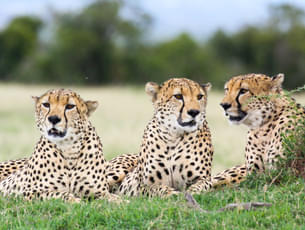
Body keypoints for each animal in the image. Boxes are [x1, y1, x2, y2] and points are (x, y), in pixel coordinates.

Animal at [0, 89, 133, 202]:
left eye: (70, 106)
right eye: (46, 104)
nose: (53, 119)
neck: (69, 148)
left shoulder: (100, 192)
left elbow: (117, 200)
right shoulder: (29, 192)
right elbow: (59, 194)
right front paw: (76, 201)